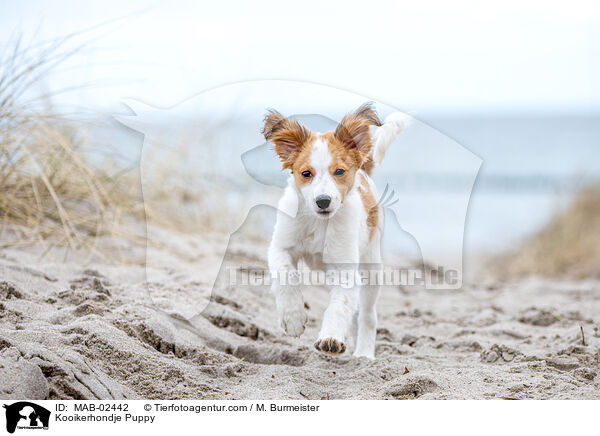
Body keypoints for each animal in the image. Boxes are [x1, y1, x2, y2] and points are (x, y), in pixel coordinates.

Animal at [262, 104, 408, 360]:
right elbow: (286, 277)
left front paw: (330, 337)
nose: (323, 201)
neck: (319, 224)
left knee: (367, 315)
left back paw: (363, 354)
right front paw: (293, 318)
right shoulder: (280, 247)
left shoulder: (345, 269)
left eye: (339, 171)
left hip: (371, 269)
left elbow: (339, 305)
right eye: (306, 173)